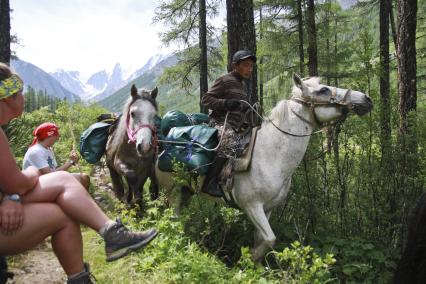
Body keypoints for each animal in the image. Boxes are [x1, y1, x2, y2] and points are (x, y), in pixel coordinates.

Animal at [156, 75, 372, 262]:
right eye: (323, 90)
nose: (366, 99)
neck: (271, 155)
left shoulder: (267, 209)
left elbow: (261, 240)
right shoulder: (252, 206)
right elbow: (270, 239)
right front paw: (247, 260)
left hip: (186, 191)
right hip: (172, 190)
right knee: (173, 218)